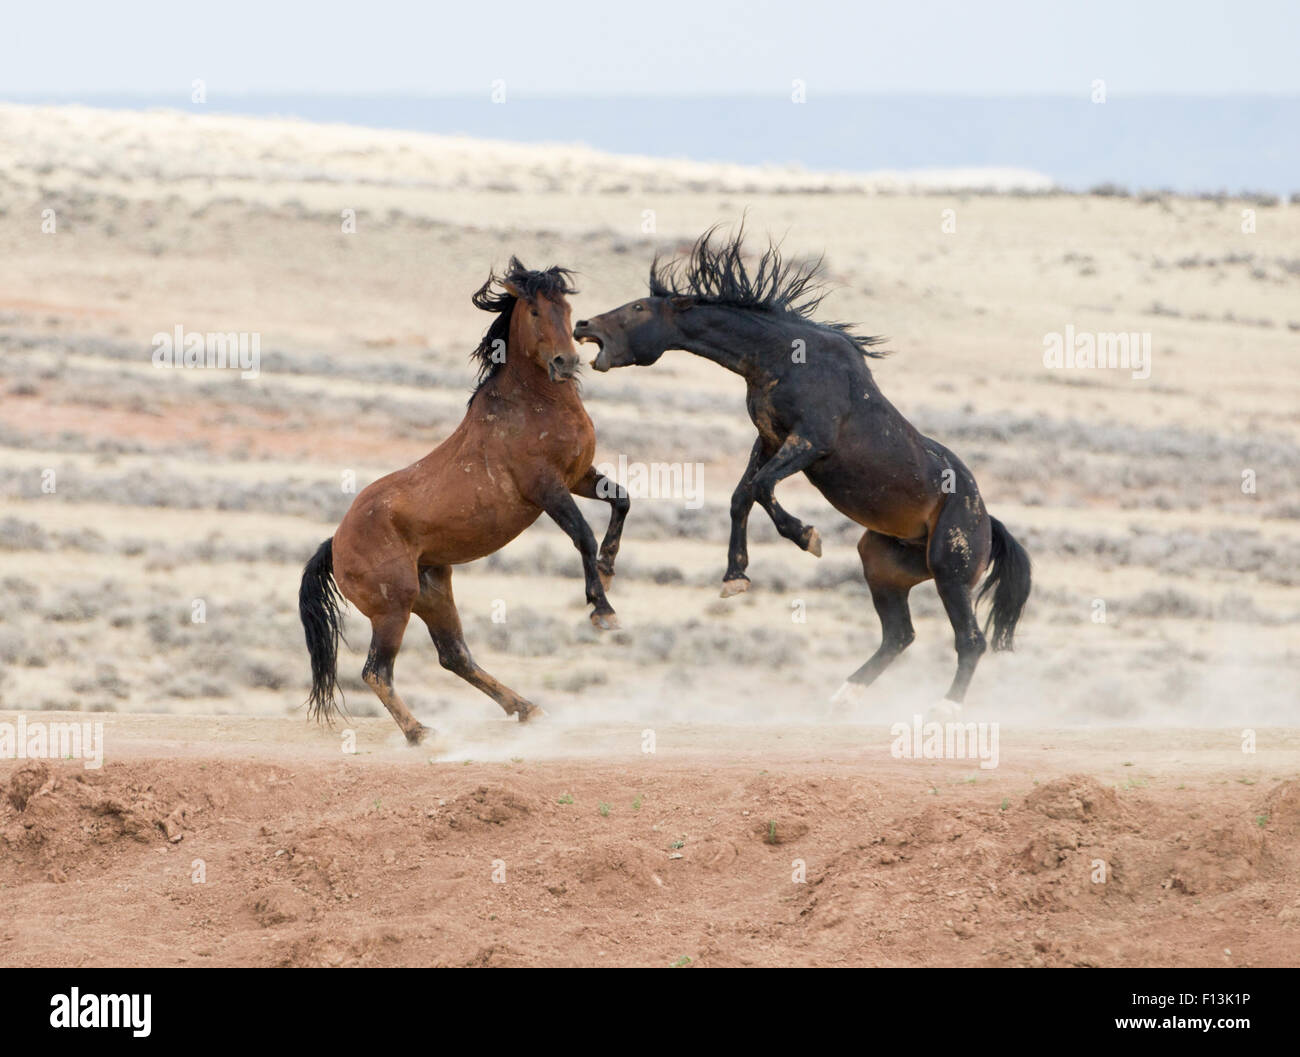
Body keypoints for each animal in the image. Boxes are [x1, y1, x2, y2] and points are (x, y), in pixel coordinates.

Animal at [304, 257, 629, 743]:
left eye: (567, 308)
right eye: (535, 310)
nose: (565, 362)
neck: (533, 405)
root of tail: (335, 544)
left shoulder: (579, 478)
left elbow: (621, 501)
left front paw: (608, 570)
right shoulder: (548, 489)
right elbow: (583, 536)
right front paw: (603, 611)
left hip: (434, 594)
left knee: (454, 655)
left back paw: (525, 707)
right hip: (393, 608)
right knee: (376, 671)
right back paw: (421, 733)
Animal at [574, 226, 1029, 712]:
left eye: (639, 308)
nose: (584, 326)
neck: (784, 357)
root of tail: (989, 523)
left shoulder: (809, 442)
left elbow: (761, 487)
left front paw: (807, 537)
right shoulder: (771, 439)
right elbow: (743, 496)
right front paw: (735, 577)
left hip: (950, 570)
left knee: (970, 639)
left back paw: (944, 707)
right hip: (882, 566)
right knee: (899, 635)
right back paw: (843, 695)